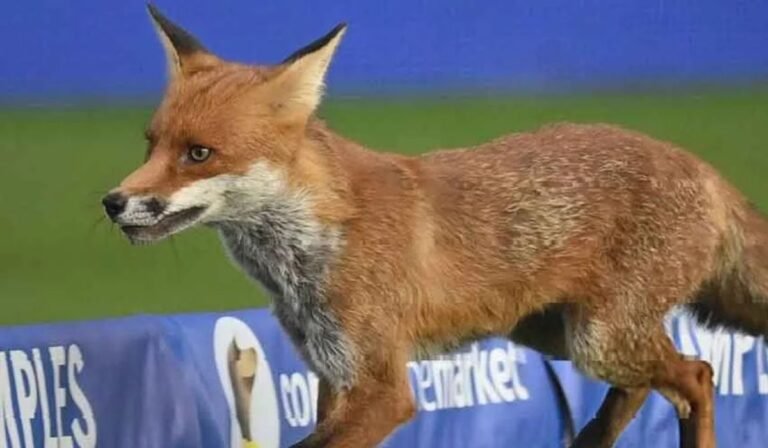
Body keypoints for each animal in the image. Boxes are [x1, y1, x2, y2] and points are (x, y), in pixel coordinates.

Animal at [102, 5, 768, 448]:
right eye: (151, 144)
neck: (309, 248)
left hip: (598, 337)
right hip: (558, 334)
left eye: (199, 154)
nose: (113, 201)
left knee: (698, 376)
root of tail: (703, 168)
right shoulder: (334, 374)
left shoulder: (382, 387)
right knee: (644, 388)